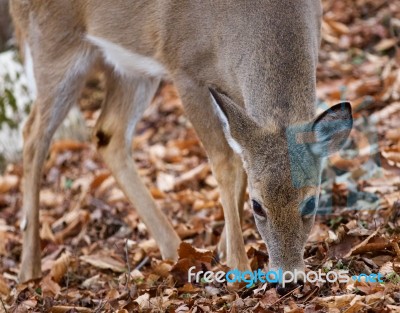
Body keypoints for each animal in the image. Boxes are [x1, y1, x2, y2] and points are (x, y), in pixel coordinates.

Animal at [10, 0, 354, 292]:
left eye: (311, 202)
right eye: (257, 206)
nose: (288, 280)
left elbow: (241, 161)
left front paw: (222, 249)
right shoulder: (185, 69)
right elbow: (225, 163)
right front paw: (238, 267)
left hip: (129, 66)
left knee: (107, 133)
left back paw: (175, 249)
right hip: (53, 45)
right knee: (32, 135)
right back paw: (29, 271)